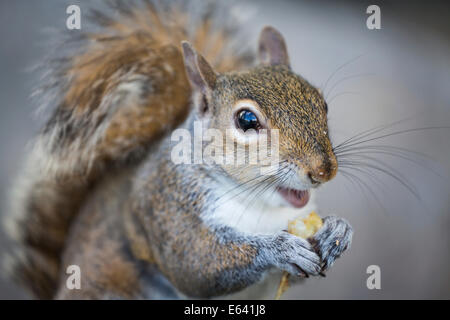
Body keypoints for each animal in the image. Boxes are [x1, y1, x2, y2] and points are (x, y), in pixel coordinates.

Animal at [5, 0, 354, 300]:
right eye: (247, 120)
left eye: (321, 103)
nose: (324, 170)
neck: (259, 202)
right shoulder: (166, 206)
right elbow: (196, 262)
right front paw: (281, 248)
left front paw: (337, 231)